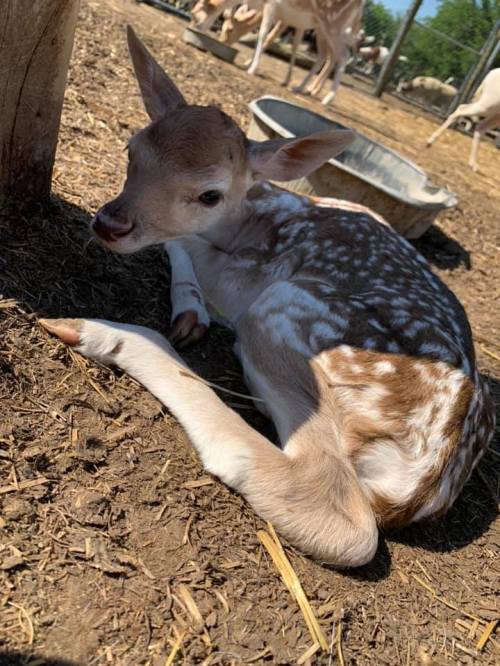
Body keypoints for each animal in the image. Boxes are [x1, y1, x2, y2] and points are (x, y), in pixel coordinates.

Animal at [41, 28, 495, 567]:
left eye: (210, 194)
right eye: (133, 150)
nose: (111, 223)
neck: (256, 218)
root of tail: (419, 482)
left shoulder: (244, 280)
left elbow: (183, 245)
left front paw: (189, 307)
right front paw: (189, 305)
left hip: (287, 309)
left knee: (341, 518)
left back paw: (106, 334)